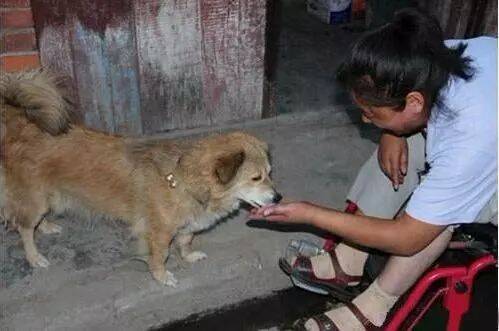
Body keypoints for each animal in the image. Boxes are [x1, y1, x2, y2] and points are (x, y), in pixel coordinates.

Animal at [0, 71, 282, 286]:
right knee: (23, 226)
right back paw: (34, 256)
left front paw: (188, 256)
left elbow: (185, 241)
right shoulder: (158, 233)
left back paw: (46, 226)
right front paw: (161, 276)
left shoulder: (185, 226)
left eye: (269, 173)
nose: (278, 197)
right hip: (35, 198)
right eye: (255, 178)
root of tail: (18, 119)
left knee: (31, 220)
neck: (184, 180)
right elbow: (160, 255)